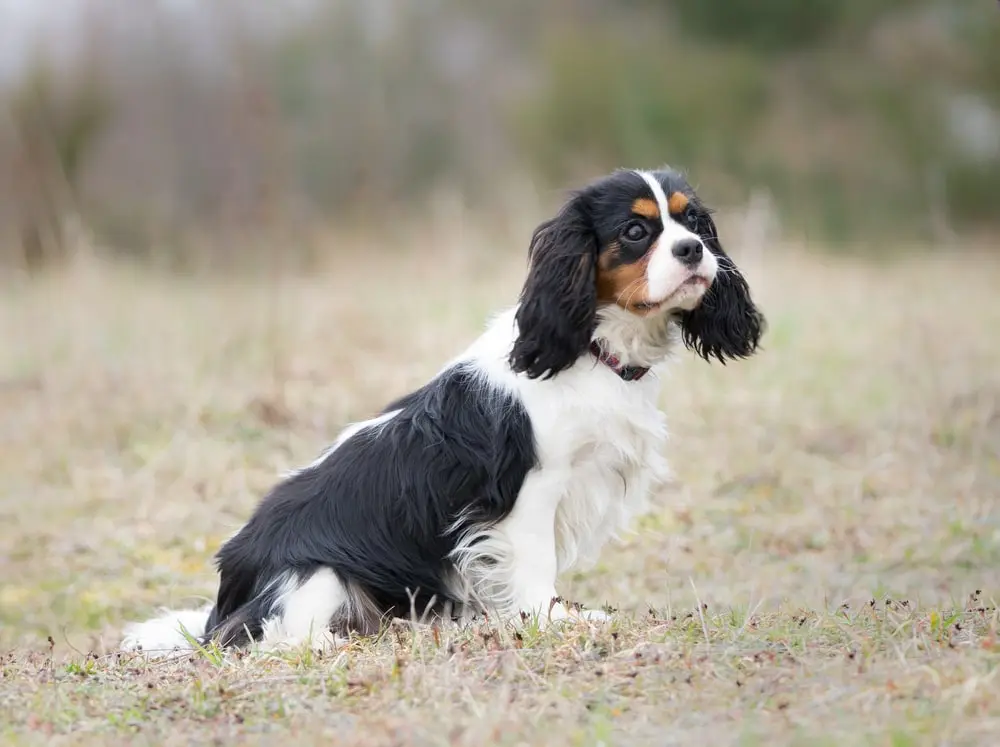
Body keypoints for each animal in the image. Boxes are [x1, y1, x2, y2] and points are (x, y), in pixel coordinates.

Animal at [123, 168, 764, 656]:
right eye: (635, 230)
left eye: (693, 224)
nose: (693, 251)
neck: (593, 350)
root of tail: (222, 598)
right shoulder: (528, 493)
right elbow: (535, 565)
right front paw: (549, 619)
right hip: (316, 574)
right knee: (264, 634)